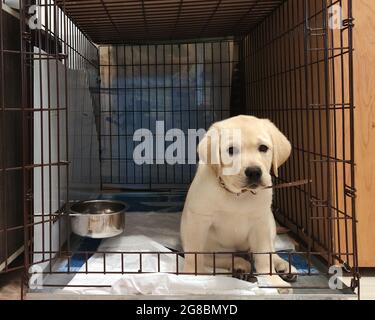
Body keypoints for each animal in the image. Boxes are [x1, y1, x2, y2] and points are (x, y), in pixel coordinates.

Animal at [181, 115, 298, 292]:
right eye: (231, 150)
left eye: (263, 148)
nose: (254, 172)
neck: (237, 194)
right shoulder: (198, 221)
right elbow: (194, 255)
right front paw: (191, 277)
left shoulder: (260, 224)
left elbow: (264, 259)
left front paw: (274, 281)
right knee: (218, 258)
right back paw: (239, 265)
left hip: (269, 224)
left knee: (270, 251)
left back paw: (284, 266)